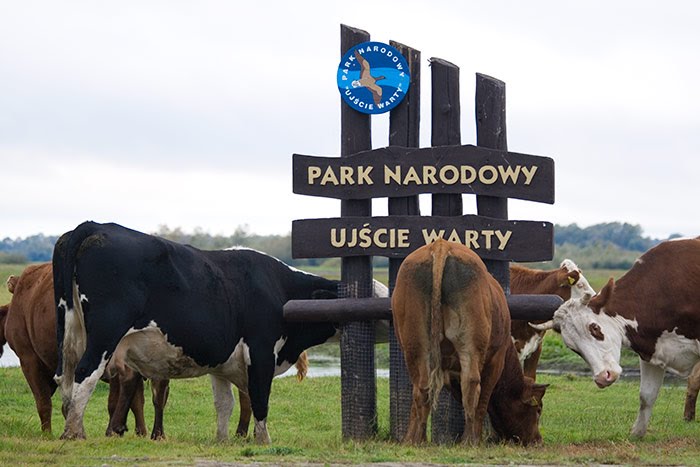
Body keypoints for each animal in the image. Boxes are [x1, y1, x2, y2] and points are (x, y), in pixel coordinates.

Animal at [53, 221, 340, 444]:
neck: (280, 289)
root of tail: (96, 225)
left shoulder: (222, 362)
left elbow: (225, 403)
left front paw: (222, 440)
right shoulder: (261, 351)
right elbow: (260, 399)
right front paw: (264, 442)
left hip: (70, 330)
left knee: (65, 378)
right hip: (105, 333)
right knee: (85, 373)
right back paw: (74, 433)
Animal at [388, 241, 548, 446]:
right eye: (538, 410)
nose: (538, 440)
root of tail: (441, 245)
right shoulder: (495, 361)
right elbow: (482, 400)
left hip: (415, 346)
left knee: (421, 387)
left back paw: (415, 439)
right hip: (470, 347)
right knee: (471, 383)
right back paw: (469, 440)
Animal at [532, 238, 700, 438]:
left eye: (595, 328)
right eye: (573, 348)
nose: (603, 377)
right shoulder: (652, 350)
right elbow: (646, 396)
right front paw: (636, 434)